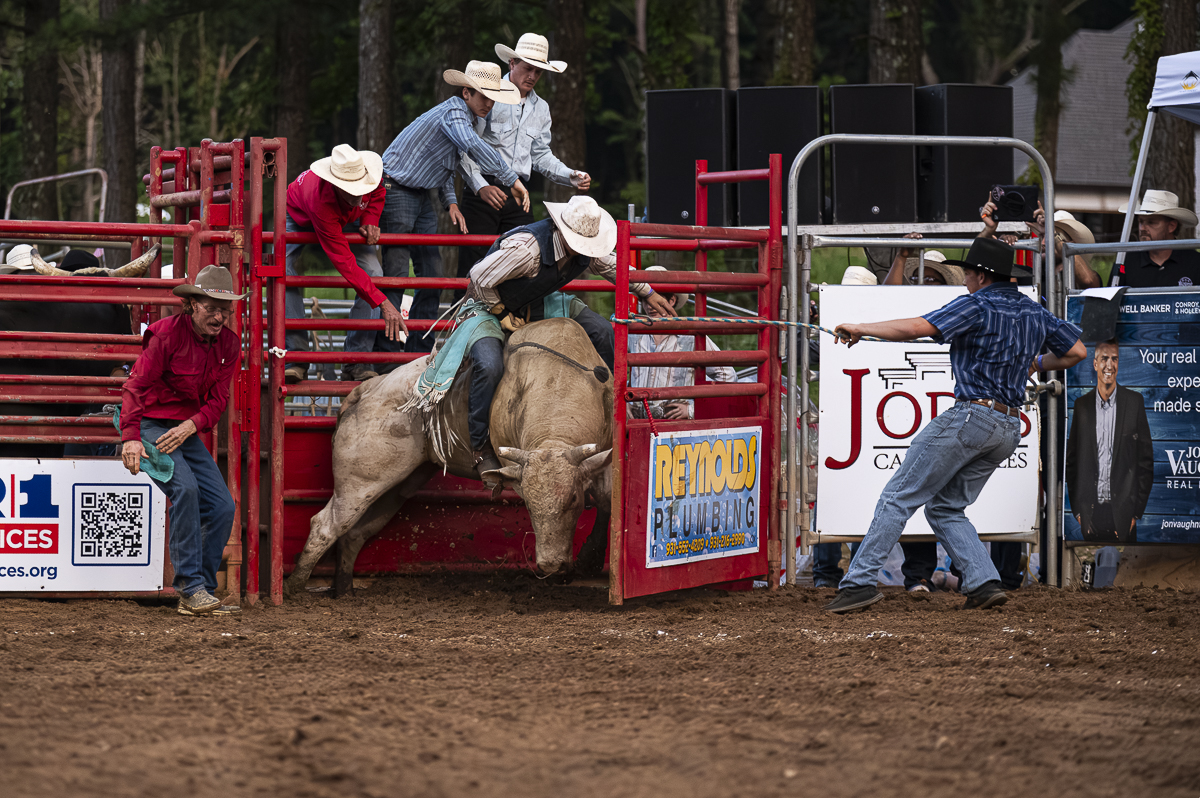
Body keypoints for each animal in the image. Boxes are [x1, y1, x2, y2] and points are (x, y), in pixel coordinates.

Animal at [283, 316, 614, 596]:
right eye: (530, 506)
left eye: (574, 498)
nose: (551, 565)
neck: (556, 382)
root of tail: (364, 391)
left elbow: (606, 499)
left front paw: (590, 558)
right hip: (360, 482)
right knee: (325, 526)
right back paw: (293, 588)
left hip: (396, 485)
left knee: (355, 533)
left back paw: (343, 590)